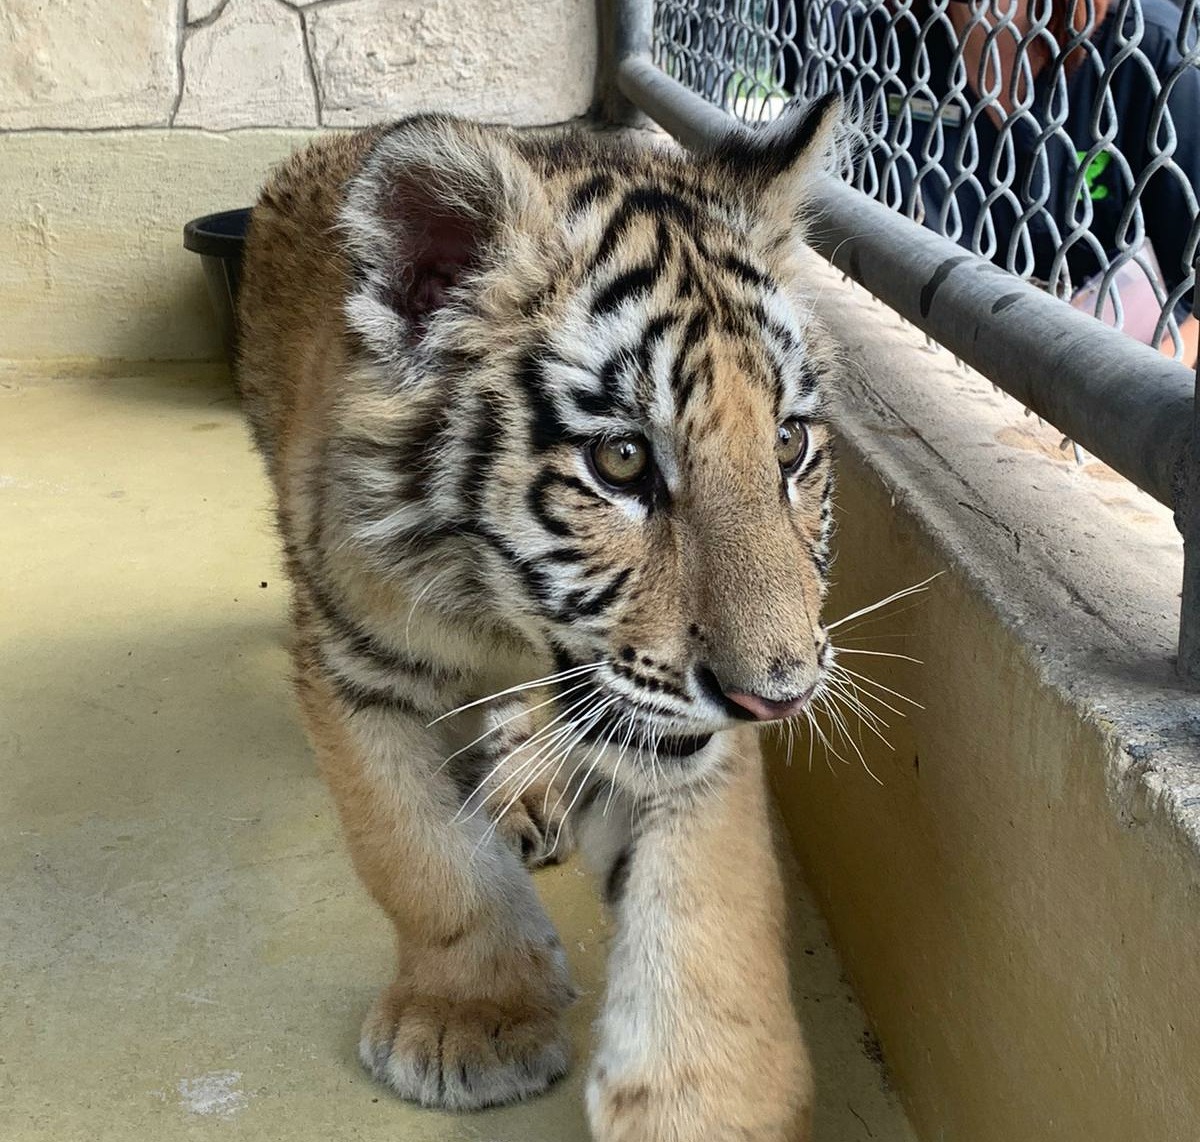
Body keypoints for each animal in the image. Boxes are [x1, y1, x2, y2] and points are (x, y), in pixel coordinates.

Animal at [235, 95, 842, 1141]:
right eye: (623, 460)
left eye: (790, 445)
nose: (780, 697)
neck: (500, 613)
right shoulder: (353, 669)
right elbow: (415, 852)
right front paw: (469, 1018)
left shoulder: (683, 737)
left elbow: (712, 899)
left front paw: (714, 1104)